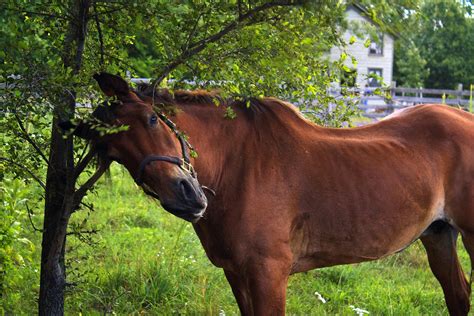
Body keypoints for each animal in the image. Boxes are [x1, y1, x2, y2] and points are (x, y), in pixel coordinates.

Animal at [70, 73, 474, 314]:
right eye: (114, 152)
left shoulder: (269, 274)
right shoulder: (236, 274)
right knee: (457, 294)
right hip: (437, 235)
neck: (236, 166)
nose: (187, 196)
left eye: (153, 119)